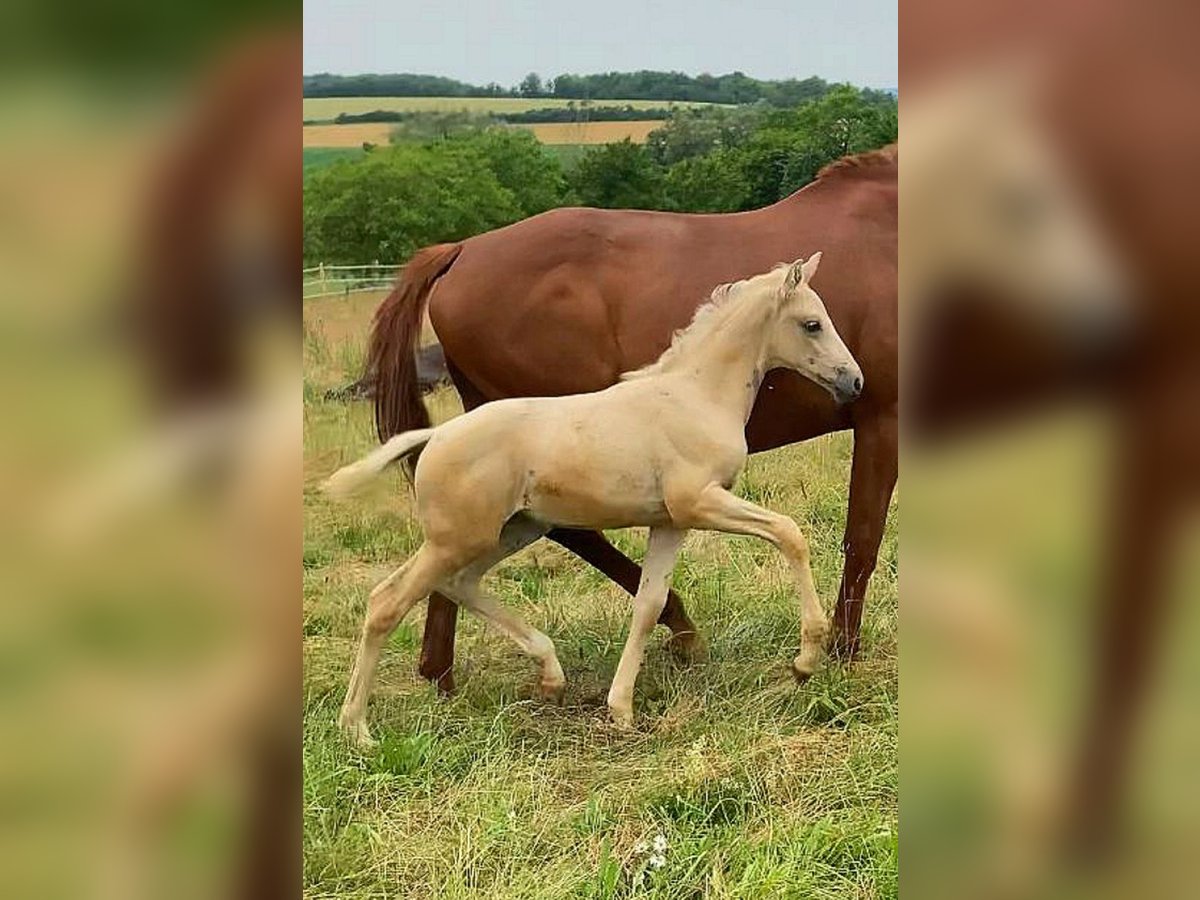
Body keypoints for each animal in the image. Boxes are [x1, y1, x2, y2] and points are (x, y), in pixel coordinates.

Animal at [328, 255, 864, 748]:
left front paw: (621, 709)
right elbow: (790, 533)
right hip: (458, 539)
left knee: (459, 584)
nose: (854, 381)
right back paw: (356, 728)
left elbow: (649, 603)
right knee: (387, 602)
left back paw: (551, 675)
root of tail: (437, 434)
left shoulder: (670, 522)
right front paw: (805, 660)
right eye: (812, 324)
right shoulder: (699, 503)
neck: (696, 396)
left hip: (513, 529)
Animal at [369, 151, 897, 696]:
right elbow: (858, 536)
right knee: (553, 538)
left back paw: (444, 671)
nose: (853, 379)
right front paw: (836, 651)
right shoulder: (882, 421)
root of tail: (461, 250)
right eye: (813, 324)